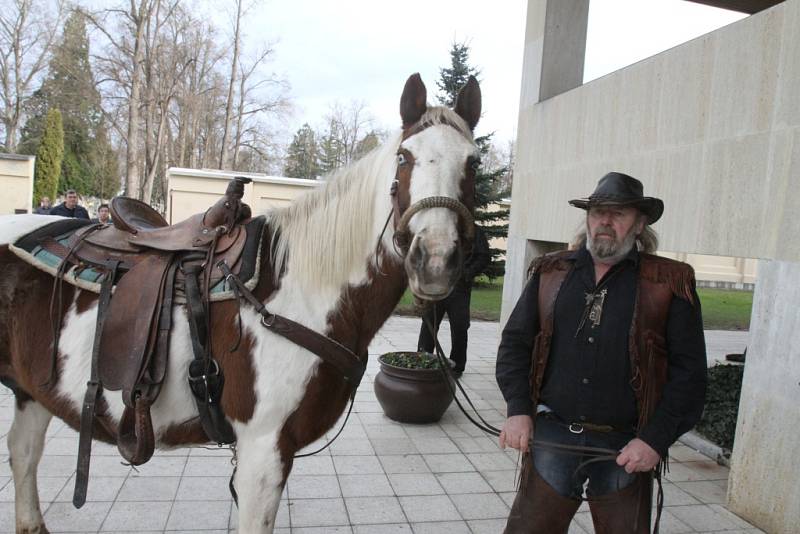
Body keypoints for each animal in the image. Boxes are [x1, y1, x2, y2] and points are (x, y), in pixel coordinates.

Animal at [0, 72, 482, 534]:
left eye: (474, 162)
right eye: (404, 158)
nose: (435, 260)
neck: (300, 292)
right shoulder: (262, 451)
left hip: (32, 391)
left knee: (23, 451)